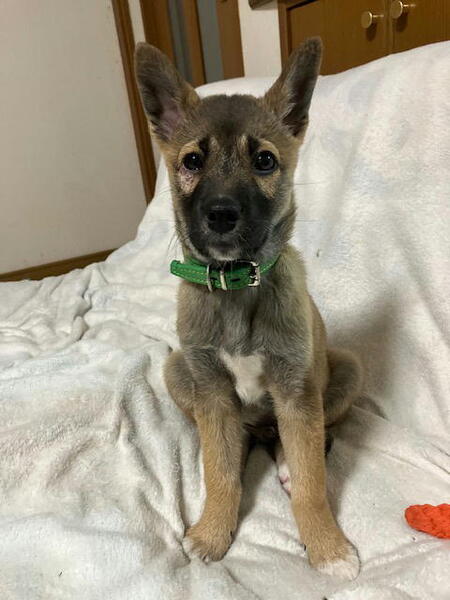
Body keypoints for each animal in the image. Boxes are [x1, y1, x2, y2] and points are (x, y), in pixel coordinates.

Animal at [135, 38, 363, 580]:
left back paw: (283, 461)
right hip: (179, 370)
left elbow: (312, 482)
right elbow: (219, 473)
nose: (221, 214)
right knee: (224, 441)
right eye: (192, 160)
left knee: (309, 440)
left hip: (343, 371)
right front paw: (212, 532)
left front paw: (327, 546)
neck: (236, 287)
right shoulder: (212, 389)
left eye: (263, 160)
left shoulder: (297, 391)